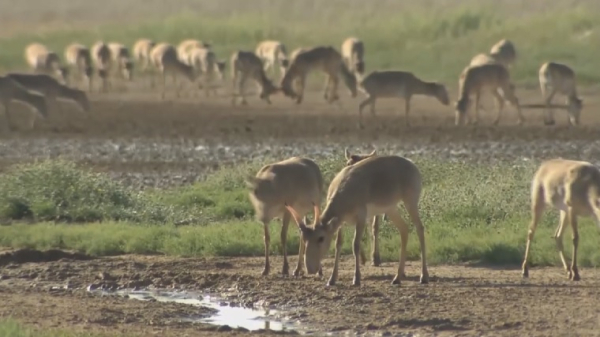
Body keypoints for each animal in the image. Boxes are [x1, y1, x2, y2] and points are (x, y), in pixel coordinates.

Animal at [284, 154, 426, 284]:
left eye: (320, 238)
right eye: (304, 239)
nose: (310, 269)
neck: (346, 189)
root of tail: (410, 163)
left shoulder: (361, 217)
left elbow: (355, 245)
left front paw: (356, 279)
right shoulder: (341, 222)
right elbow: (338, 244)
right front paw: (332, 279)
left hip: (410, 202)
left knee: (419, 228)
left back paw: (423, 276)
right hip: (390, 209)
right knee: (404, 229)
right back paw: (397, 277)